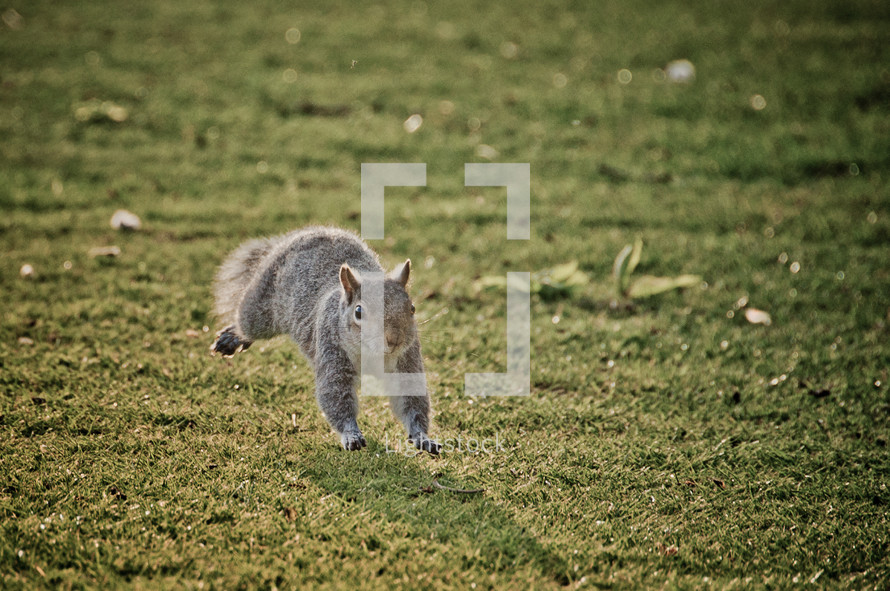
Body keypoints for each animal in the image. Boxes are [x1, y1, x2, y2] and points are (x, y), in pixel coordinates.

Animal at [212, 225, 440, 454]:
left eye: (412, 308)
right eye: (358, 312)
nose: (394, 340)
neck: (372, 354)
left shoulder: (406, 360)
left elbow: (412, 397)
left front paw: (422, 436)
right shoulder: (331, 350)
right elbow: (334, 394)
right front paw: (351, 433)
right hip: (259, 309)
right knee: (246, 323)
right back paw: (233, 337)